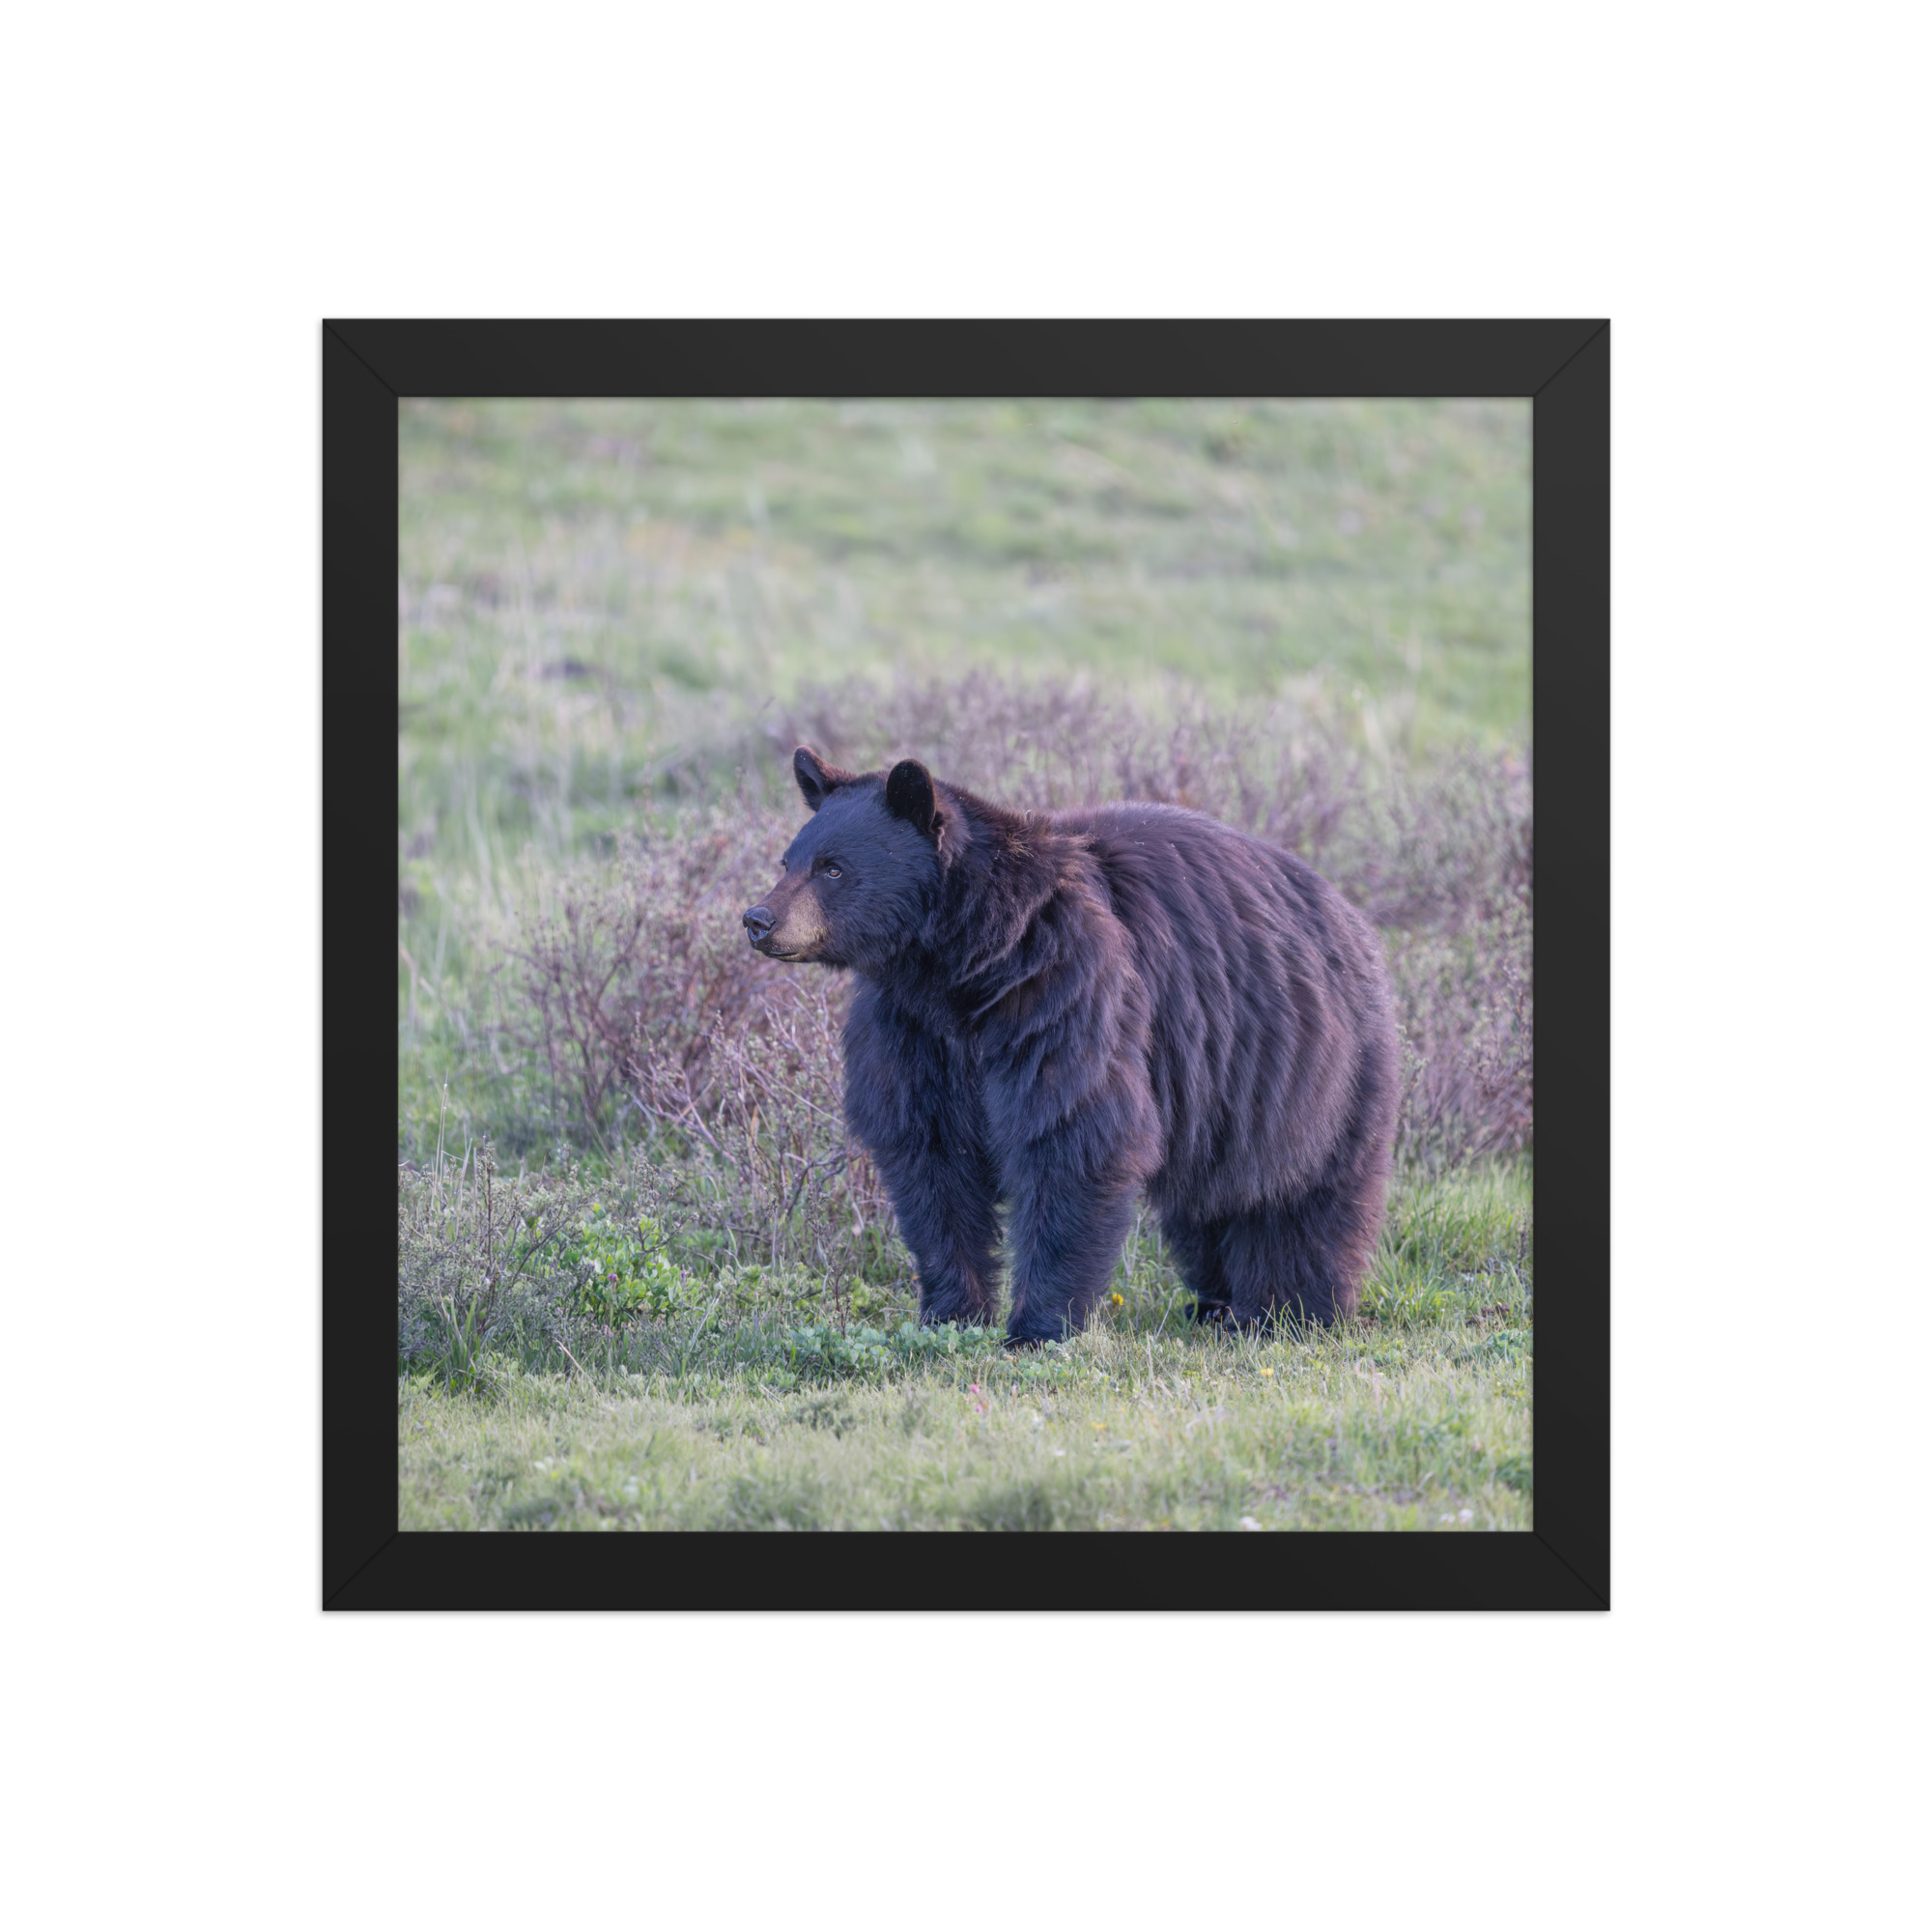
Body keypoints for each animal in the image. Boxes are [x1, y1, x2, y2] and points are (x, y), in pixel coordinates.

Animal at [743, 746, 1398, 1345]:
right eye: (788, 859)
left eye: (833, 868)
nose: (758, 919)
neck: (962, 964)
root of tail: (1349, 914)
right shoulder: (912, 1030)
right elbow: (930, 1157)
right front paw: (951, 1314)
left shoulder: (1064, 990)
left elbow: (1071, 1134)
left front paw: (1037, 1327)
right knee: (1209, 1202)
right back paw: (1215, 1304)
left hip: (1312, 1067)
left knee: (1303, 1195)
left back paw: (1287, 1310)